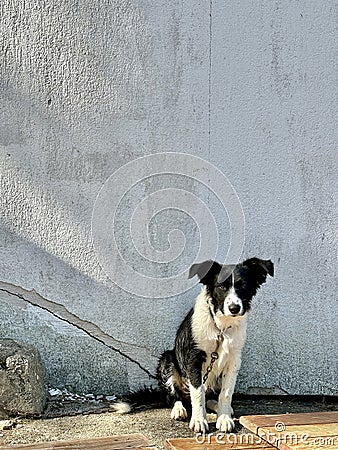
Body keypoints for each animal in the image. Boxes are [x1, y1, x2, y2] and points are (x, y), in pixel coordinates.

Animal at [157, 258, 274, 434]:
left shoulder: (234, 359)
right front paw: (199, 420)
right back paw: (179, 409)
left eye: (243, 286)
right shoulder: (193, 358)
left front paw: (224, 418)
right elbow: (198, 393)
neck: (221, 327)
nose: (234, 308)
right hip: (168, 359)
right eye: (222, 287)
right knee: (174, 396)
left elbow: (226, 393)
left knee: (211, 396)